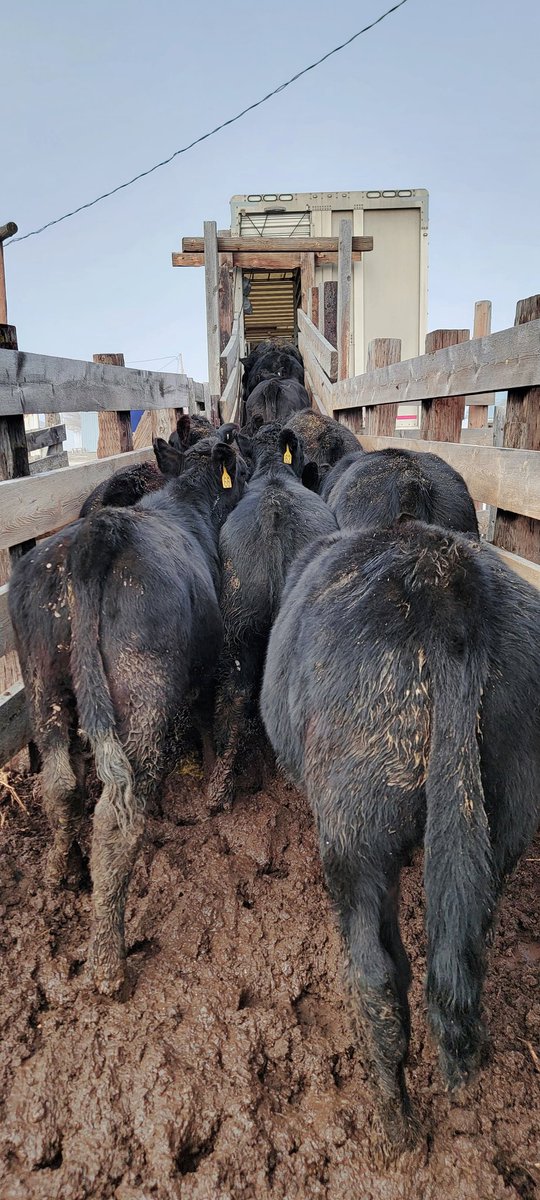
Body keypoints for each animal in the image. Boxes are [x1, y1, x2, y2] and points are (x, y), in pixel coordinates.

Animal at [9, 435, 245, 996]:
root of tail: (98, 534)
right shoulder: (211, 660)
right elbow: (210, 718)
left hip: (43, 682)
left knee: (61, 783)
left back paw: (62, 871)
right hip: (144, 694)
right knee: (118, 816)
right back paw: (107, 964)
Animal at [260, 521, 540, 1150]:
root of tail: (450, 587)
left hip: (354, 830)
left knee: (377, 979)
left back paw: (396, 1125)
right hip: (508, 814)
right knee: (462, 957)